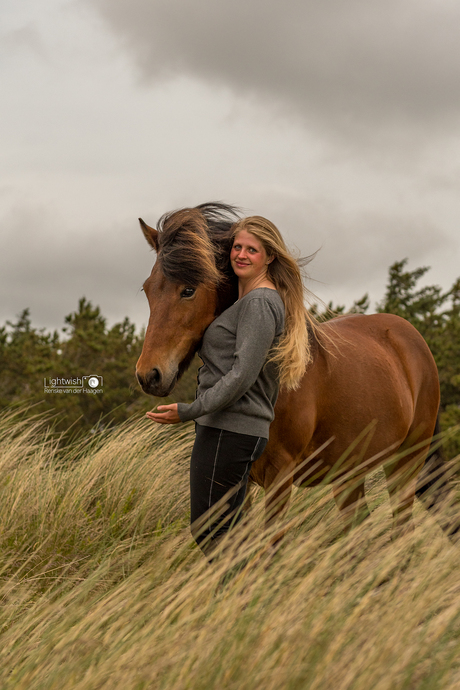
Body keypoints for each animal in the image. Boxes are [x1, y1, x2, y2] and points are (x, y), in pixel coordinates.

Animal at [137, 202, 442, 536]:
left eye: (189, 290)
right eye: (147, 289)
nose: (148, 375)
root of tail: (410, 338)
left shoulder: (280, 474)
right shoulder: (244, 481)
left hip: (406, 461)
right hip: (350, 473)